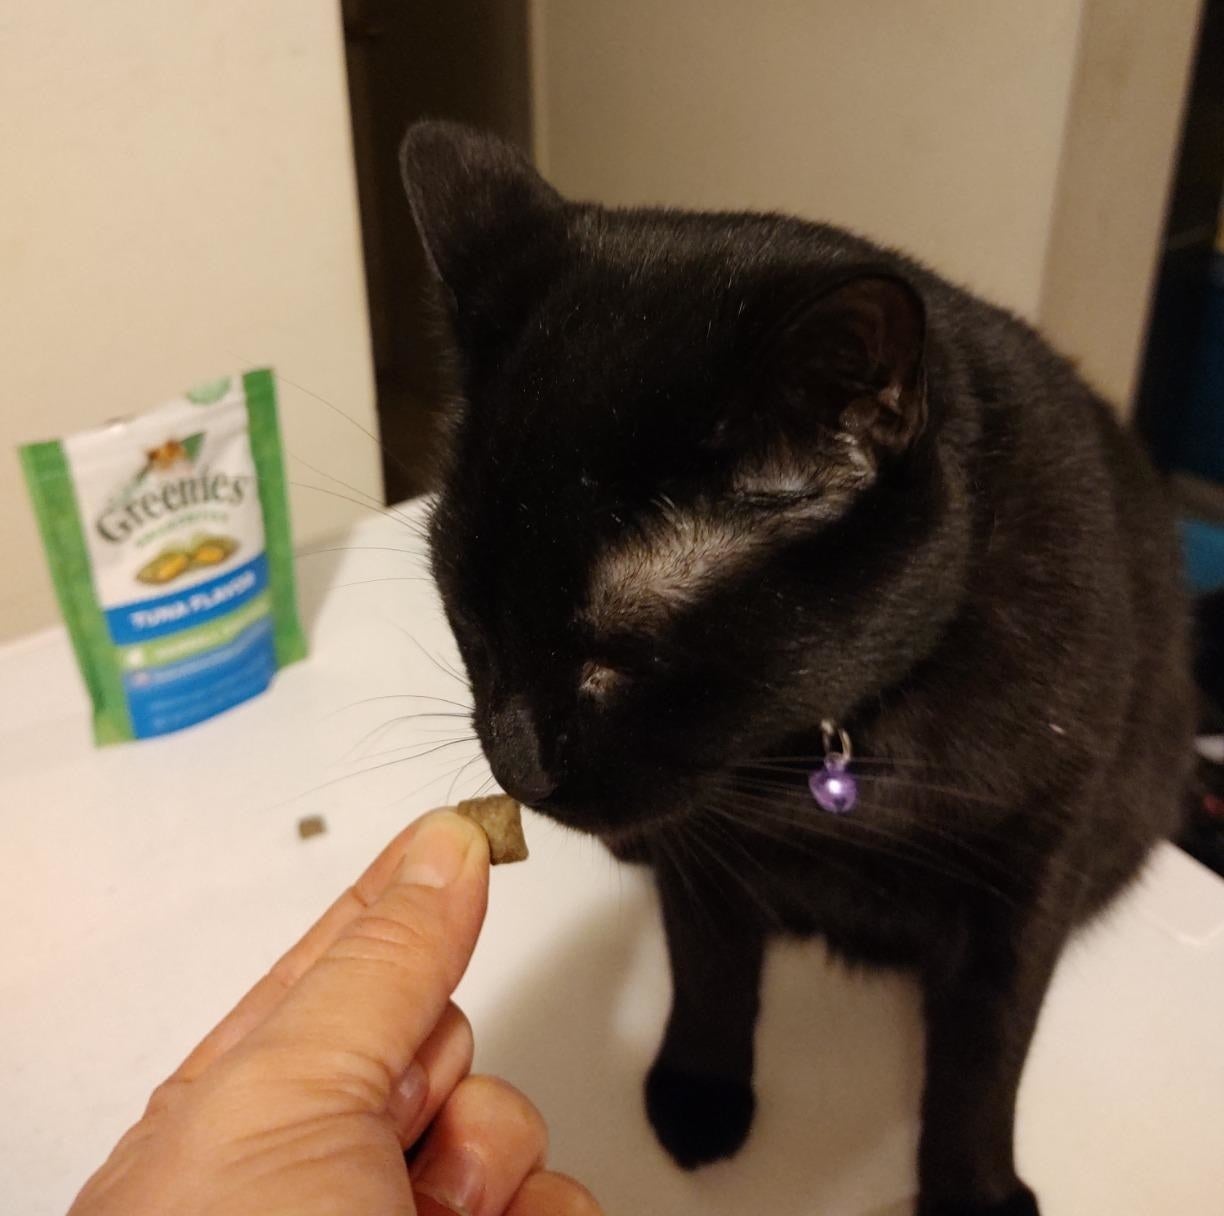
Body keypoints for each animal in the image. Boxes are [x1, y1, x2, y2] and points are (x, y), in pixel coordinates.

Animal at [396, 121, 1189, 1214]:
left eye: (616, 659)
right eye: (471, 621)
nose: (517, 765)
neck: (834, 755)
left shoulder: (1035, 855)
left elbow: (987, 1052)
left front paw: (975, 1190)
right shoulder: (707, 844)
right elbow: (711, 971)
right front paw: (699, 1092)